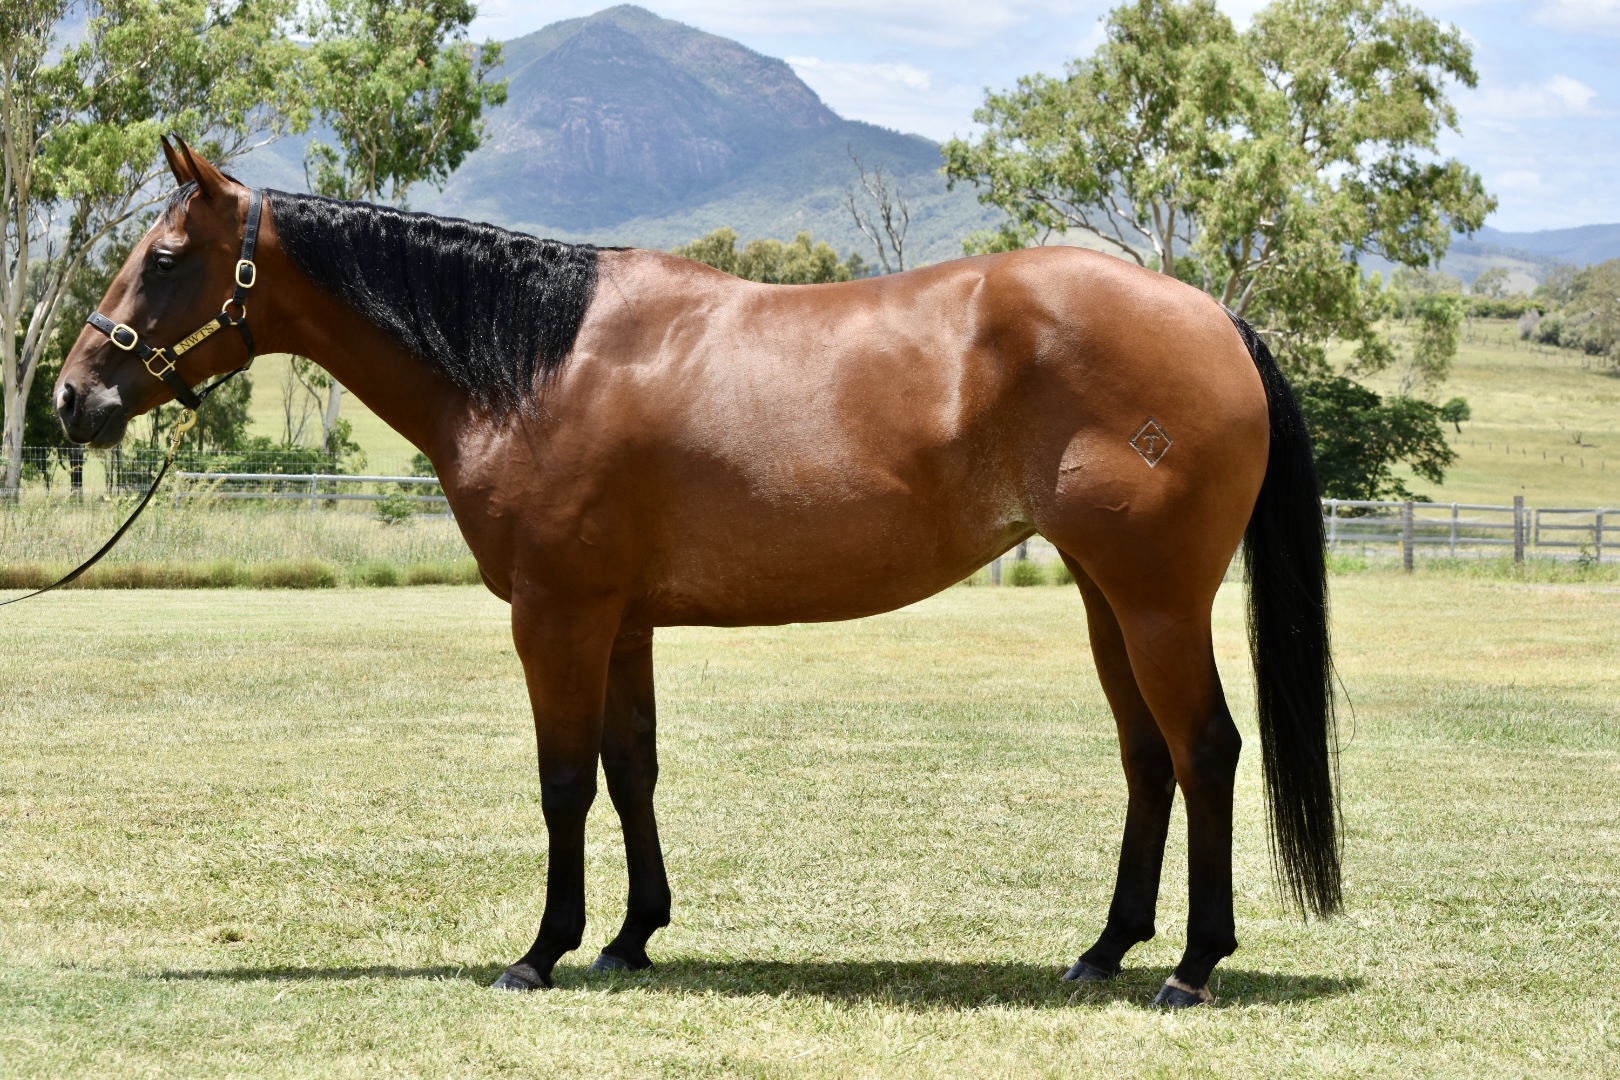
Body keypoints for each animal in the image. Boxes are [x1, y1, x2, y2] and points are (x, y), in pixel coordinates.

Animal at [53, 137, 1339, 1008]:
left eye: (165, 256)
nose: (74, 396)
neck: (538, 363)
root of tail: (1213, 320)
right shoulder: (621, 620)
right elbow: (634, 771)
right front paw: (631, 937)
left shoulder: (558, 615)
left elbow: (563, 782)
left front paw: (542, 952)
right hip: (1105, 598)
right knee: (1146, 759)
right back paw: (1105, 949)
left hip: (1158, 600)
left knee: (1206, 749)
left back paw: (1191, 966)